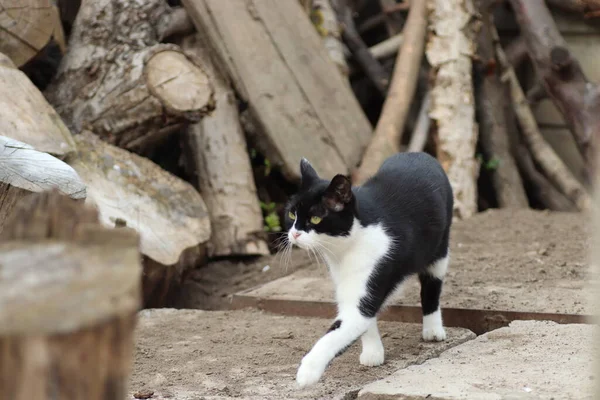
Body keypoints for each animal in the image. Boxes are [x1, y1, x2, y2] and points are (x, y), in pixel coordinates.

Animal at [284, 152, 452, 388]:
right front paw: (373, 353)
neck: (347, 248)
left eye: (315, 218)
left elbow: (344, 326)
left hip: (440, 245)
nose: (294, 234)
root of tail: (419, 154)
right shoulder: (343, 278)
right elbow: (365, 317)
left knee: (432, 285)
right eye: (292, 215)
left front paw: (307, 371)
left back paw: (433, 330)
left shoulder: (376, 265)